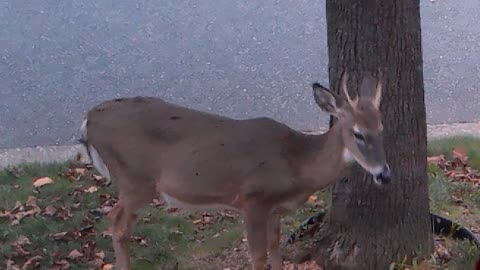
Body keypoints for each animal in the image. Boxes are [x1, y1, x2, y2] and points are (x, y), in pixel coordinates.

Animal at [79, 71, 392, 270]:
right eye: (358, 133)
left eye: (381, 128)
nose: (384, 174)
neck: (296, 163)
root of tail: (87, 120)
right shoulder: (252, 199)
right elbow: (258, 256)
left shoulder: (275, 209)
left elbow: (275, 247)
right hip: (135, 179)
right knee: (116, 221)